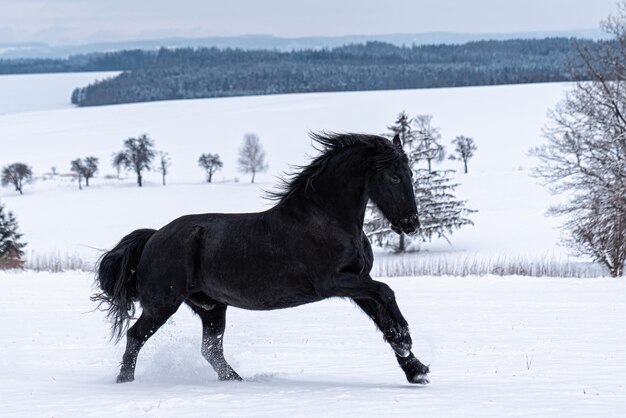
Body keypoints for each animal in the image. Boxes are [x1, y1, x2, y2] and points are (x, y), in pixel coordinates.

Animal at [92, 133, 428, 386]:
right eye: (395, 177)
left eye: (411, 174)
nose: (411, 224)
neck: (327, 217)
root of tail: (154, 237)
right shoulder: (334, 282)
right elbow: (387, 292)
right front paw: (405, 340)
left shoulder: (358, 282)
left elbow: (382, 317)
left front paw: (415, 369)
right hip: (163, 304)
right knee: (136, 336)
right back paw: (125, 382)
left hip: (211, 308)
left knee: (211, 350)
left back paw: (236, 381)